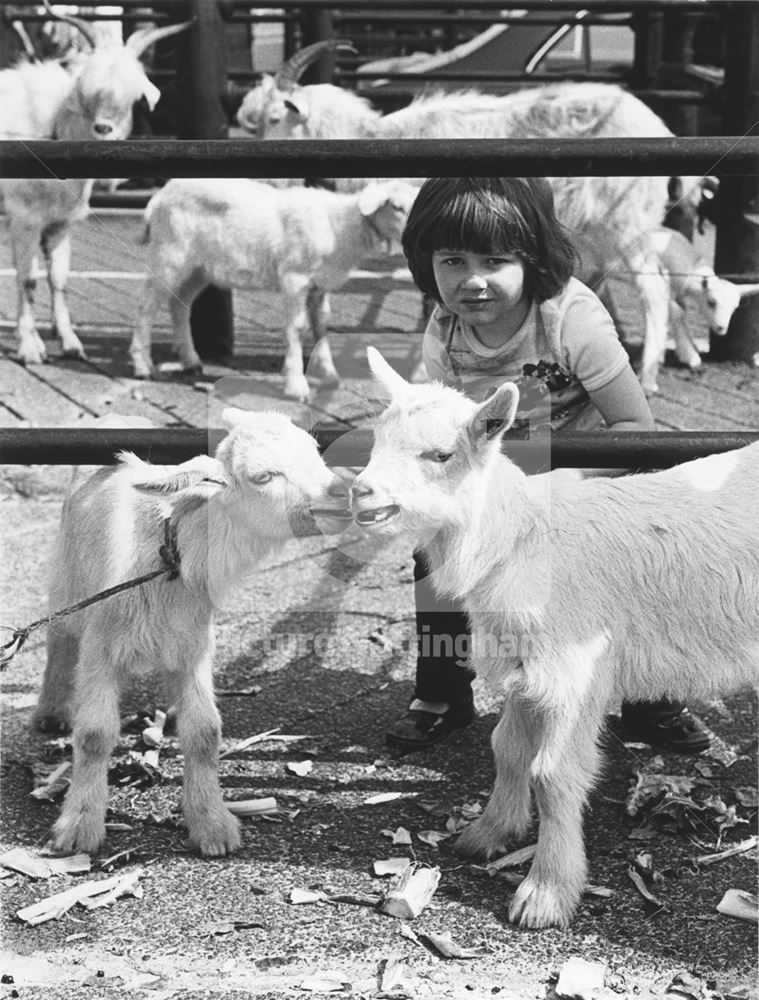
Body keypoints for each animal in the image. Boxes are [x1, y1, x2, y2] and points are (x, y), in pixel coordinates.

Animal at [0, 7, 190, 368]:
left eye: (133, 100)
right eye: (85, 94)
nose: (103, 130)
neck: (52, 131)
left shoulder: (60, 223)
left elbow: (58, 279)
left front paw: (70, 344)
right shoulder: (24, 218)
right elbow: (28, 279)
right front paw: (29, 348)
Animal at [239, 43, 708, 394]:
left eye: (275, 118)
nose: (267, 176)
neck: (376, 139)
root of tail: (662, 129)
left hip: (624, 223)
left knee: (653, 290)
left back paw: (647, 376)